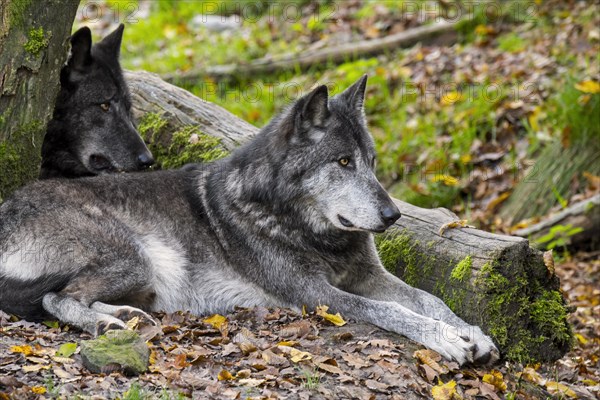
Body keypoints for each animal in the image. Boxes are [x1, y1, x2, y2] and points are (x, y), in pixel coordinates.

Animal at [0, 76, 496, 366]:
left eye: (371, 163)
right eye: (343, 162)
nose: (393, 216)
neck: (303, 226)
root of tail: (7, 207)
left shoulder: (369, 276)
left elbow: (429, 299)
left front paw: (474, 333)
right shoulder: (316, 295)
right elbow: (395, 311)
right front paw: (451, 340)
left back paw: (123, 315)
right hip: (135, 258)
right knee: (54, 299)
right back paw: (107, 325)